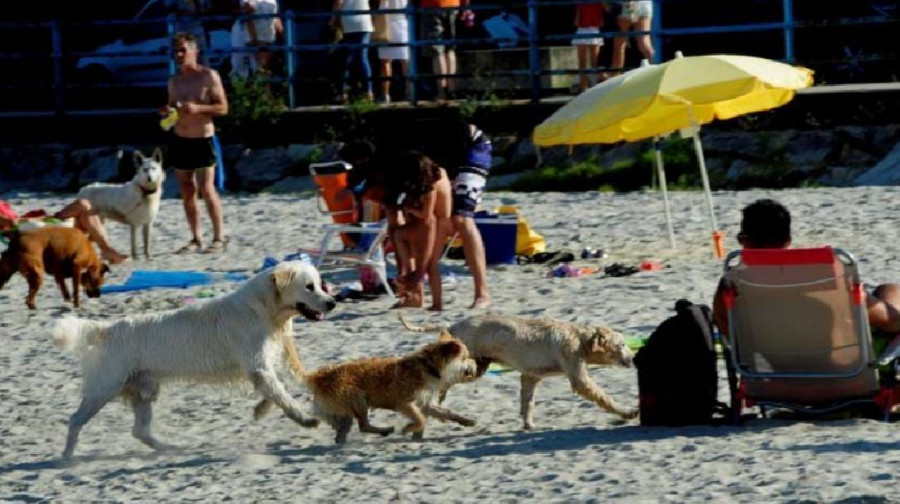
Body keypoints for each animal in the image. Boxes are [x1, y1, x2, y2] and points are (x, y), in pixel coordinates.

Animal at [52, 262, 336, 458]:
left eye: (321, 284)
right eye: (309, 286)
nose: (332, 302)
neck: (264, 309)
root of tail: (107, 328)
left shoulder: (262, 366)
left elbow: (278, 391)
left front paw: (261, 410)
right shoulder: (258, 366)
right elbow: (284, 396)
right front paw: (306, 420)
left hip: (143, 391)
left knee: (140, 431)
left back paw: (169, 448)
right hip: (104, 389)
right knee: (75, 420)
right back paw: (67, 457)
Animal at [255, 332, 478, 442]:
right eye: (465, 357)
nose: (475, 364)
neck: (428, 366)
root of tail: (320, 376)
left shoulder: (426, 403)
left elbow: (448, 413)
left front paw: (466, 420)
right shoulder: (405, 403)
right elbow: (420, 419)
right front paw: (408, 428)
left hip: (342, 408)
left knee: (342, 427)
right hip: (358, 398)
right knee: (363, 425)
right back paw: (383, 430)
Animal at [400, 316, 640, 430]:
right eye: (621, 344)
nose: (634, 358)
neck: (580, 338)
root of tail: (452, 327)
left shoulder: (531, 376)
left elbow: (528, 401)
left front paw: (528, 424)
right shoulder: (578, 377)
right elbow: (604, 397)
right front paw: (627, 412)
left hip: (478, 366)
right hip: (468, 366)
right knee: (443, 382)